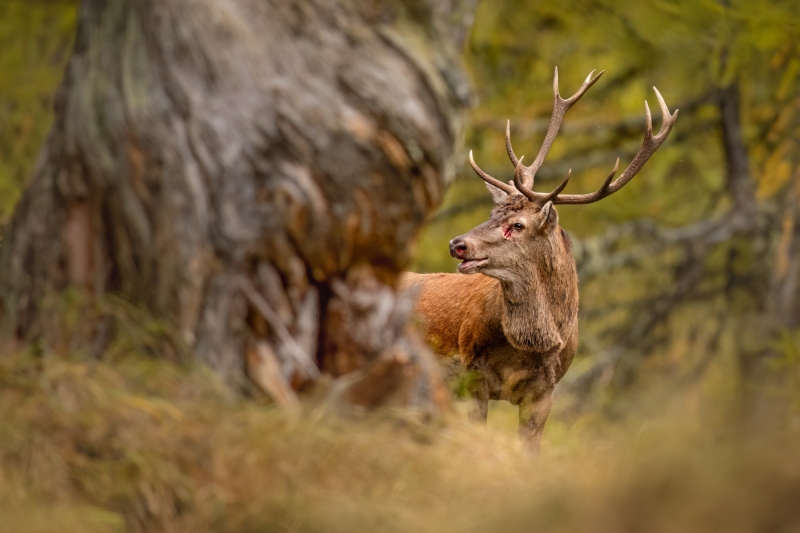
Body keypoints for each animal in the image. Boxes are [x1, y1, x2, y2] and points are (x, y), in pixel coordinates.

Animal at [401, 68, 678, 453]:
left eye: (517, 225)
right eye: (492, 213)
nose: (458, 244)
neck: (529, 347)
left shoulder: (546, 391)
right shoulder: (472, 375)